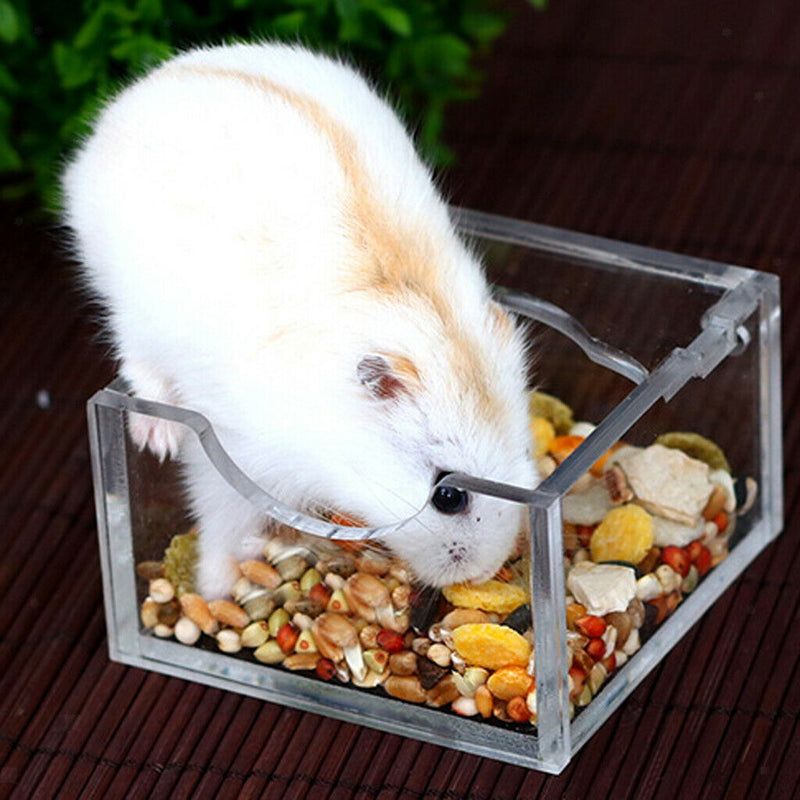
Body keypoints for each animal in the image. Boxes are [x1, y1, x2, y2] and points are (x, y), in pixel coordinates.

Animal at [62, 42, 538, 598]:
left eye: (526, 451)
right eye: (449, 497)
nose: (484, 572)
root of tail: (139, 90)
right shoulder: (240, 459)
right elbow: (223, 520)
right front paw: (215, 588)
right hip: (124, 300)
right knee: (137, 361)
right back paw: (155, 436)